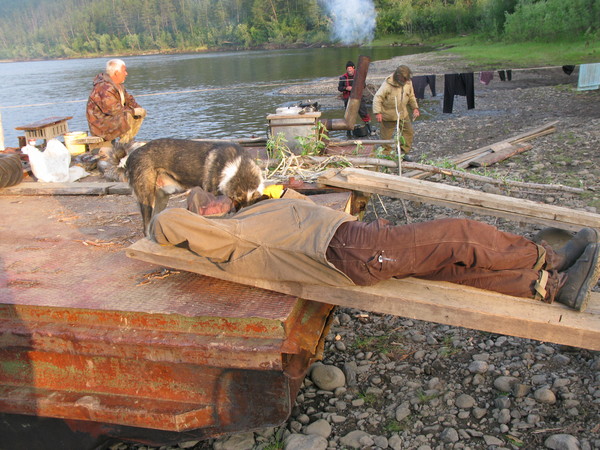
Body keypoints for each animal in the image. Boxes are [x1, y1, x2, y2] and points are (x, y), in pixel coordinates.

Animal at [123, 137, 262, 236]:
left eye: (251, 206)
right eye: (237, 203)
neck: (239, 168)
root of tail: (131, 155)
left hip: (161, 199)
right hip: (147, 199)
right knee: (146, 227)